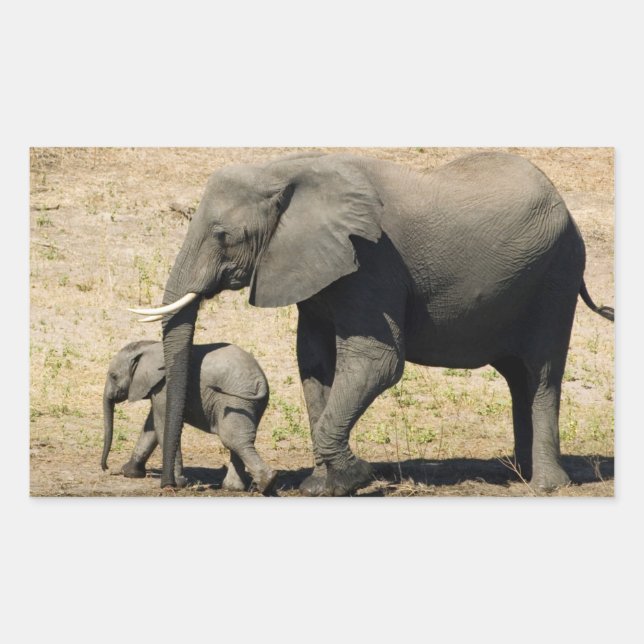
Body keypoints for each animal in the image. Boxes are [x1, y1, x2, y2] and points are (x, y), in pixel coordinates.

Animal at [101, 340, 277, 494]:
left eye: (113, 376)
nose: (106, 468)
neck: (149, 346)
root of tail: (261, 381)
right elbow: (150, 427)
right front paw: (129, 472)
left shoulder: (164, 387)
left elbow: (162, 425)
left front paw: (177, 483)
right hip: (250, 404)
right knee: (239, 441)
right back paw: (234, 488)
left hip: (235, 402)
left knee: (233, 440)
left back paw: (265, 483)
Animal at [130, 151, 614, 495]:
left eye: (223, 236)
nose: (173, 484)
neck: (286, 168)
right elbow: (314, 364)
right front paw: (320, 487)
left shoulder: (372, 260)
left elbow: (376, 363)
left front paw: (356, 478)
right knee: (517, 377)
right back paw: (519, 473)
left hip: (556, 276)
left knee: (541, 373)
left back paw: (545, 485)